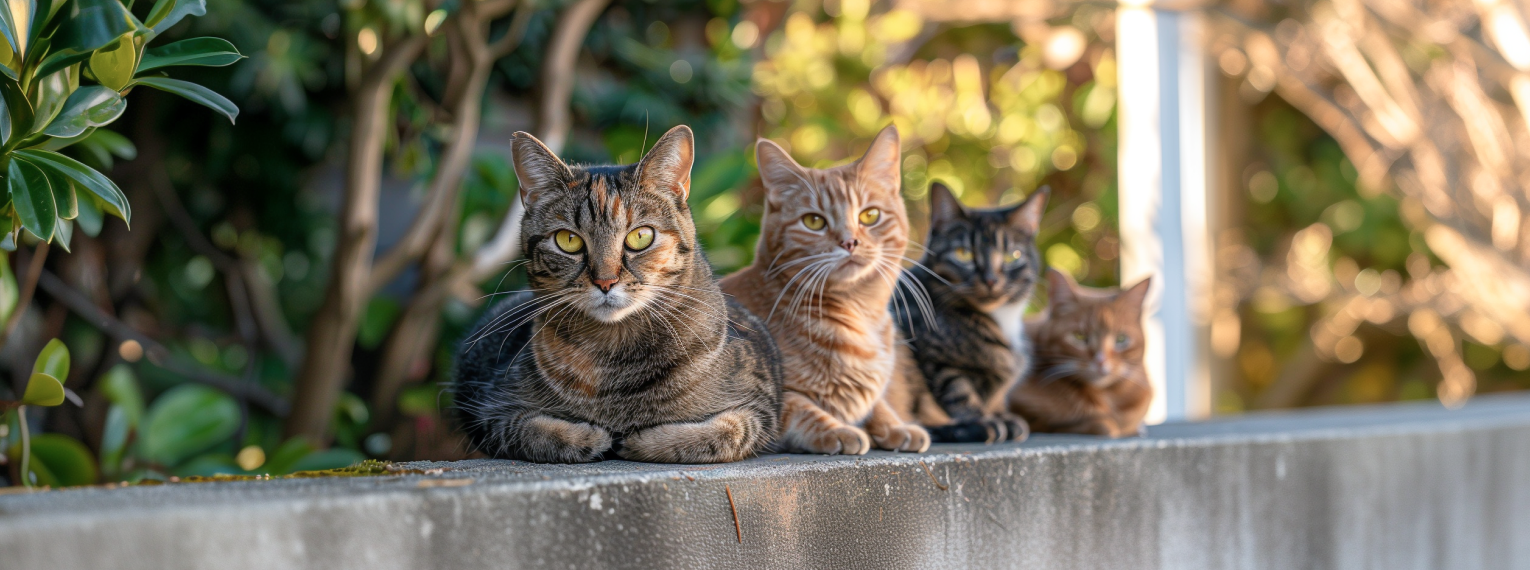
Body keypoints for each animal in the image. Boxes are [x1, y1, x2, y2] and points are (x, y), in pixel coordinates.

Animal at [449, 125, 789, 461]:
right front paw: (592, 435)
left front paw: (639, 439)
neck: (616, 357)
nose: (605, 281)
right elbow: (534, 431)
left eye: (640, 237)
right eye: (568, 240)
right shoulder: (491, 409)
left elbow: (722, 433)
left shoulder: (759, 408)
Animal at [719, 124, 924, 452]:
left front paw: (896, 425)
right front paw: (839, 431)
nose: (849, 242)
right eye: (813, 221)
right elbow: (803, 408)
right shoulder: (762, 398)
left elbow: (877, 404)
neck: (860, 313)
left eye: (870, 215)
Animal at [893, 179, 1046, 443]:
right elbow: (958, 391)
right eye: (964, 254)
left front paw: (1001, 416)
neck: (1001, 319)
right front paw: (984, 420)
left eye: (1012, 256)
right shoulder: (933, 358)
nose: (991, 280)